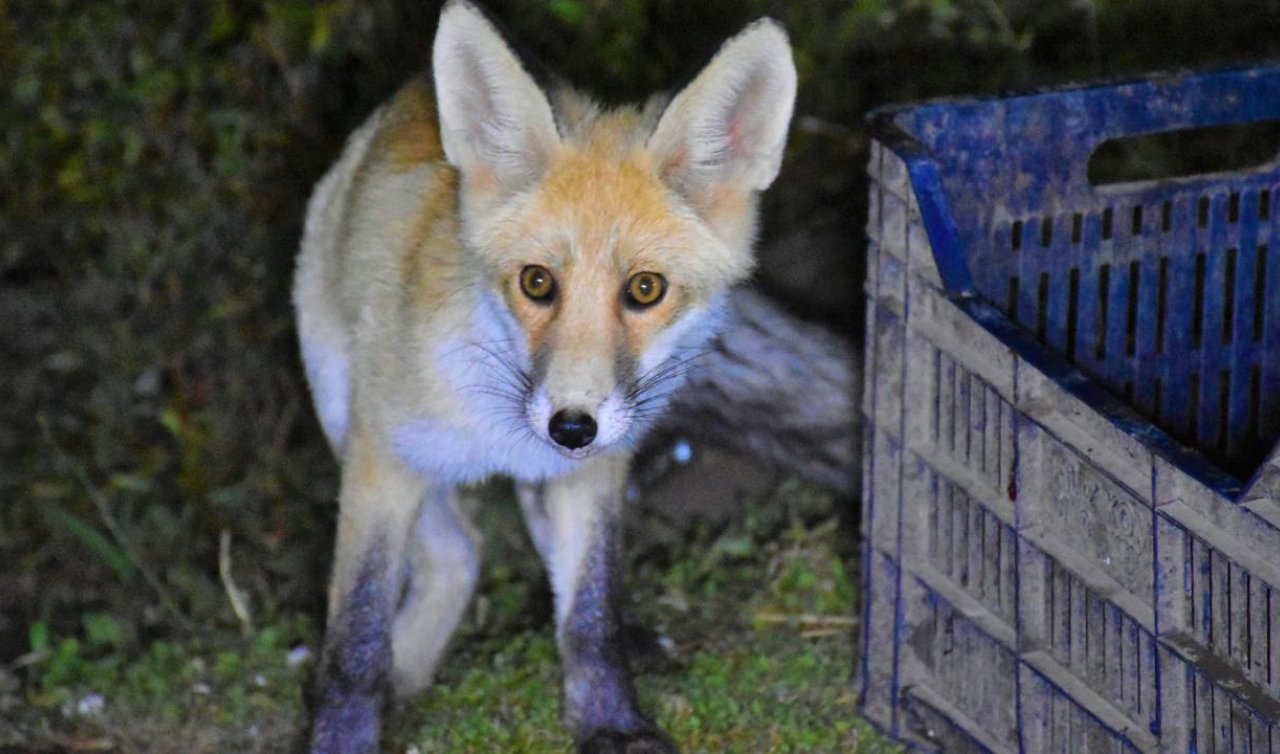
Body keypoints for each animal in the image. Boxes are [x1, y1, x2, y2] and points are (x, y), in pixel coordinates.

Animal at [296, 2, 798, 747]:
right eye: (537, 282)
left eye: (645, 289)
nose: (570, 427)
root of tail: (409, 90)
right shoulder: (381, 459)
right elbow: (355, 637)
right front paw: (342, 736)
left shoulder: (597, 469)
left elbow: (591, 614)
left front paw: (611, 722)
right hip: (339, 405)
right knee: (459, 553)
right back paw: (407, 673)